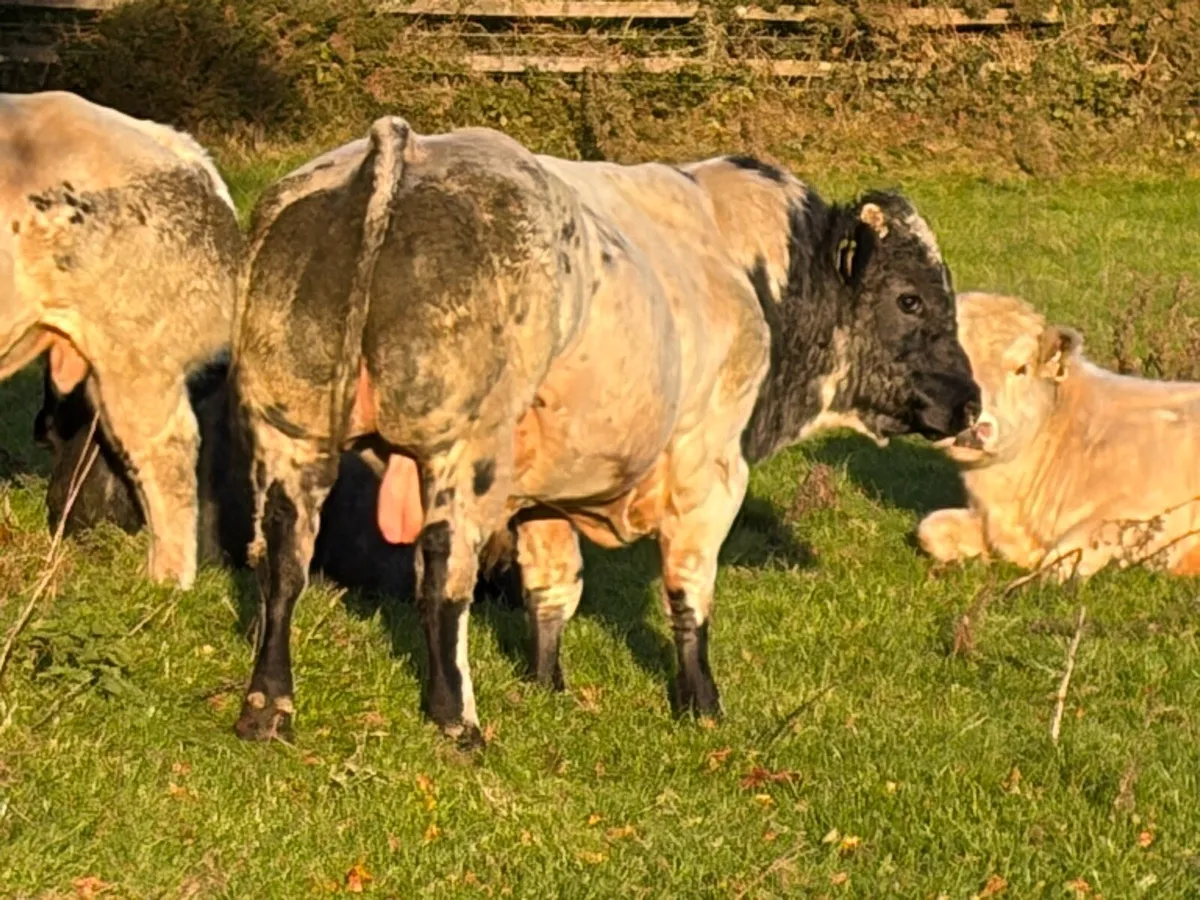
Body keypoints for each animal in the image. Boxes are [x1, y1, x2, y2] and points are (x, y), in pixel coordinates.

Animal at [231, 116, 978, 746]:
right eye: (911, 298)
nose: (969, 402)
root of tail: (402, 144)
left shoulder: (546, 493)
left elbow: (552, 588)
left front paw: (546, 688)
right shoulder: (710, 469)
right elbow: (689, 593)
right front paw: (702, 705)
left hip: (288, 433)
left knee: (283, 558)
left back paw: (267, 708)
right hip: (460, 451)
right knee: (442, 574)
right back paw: (457, 722)